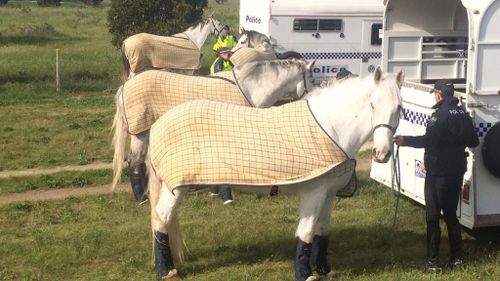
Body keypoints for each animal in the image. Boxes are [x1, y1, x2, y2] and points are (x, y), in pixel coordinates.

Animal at [111, 58, 314, 199]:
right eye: (311, 78)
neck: (250, 89)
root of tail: (125, 86)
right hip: (140, 132)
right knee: (134, 159)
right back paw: (141, 198)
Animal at [146, 66, 404, 278]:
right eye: (372, 105)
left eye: (400, 108)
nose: (381, 154)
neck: (331, 128)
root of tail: (158, 124)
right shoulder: (314, 192)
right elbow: (306, 232)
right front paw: (305, 274)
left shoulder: (329, 193)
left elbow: (321, 231)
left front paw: (324, 270)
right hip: (175, 188)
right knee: (161, 218)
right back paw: (166, 271)